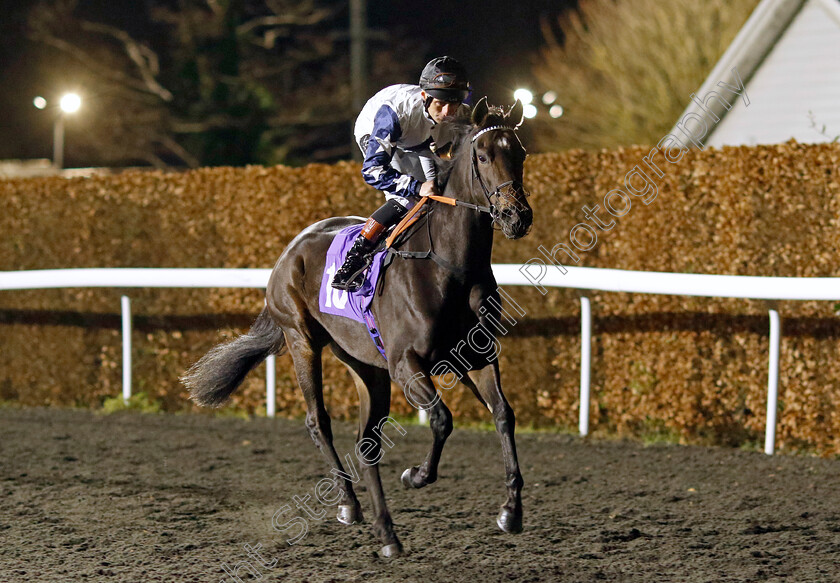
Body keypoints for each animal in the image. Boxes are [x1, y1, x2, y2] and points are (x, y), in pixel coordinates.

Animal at [183, 98, 536, 560]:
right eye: (482, 156)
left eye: (521, 154)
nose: (517, 217)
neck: (450, 267)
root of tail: (289, 250)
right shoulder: (407, 365)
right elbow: (442, 419)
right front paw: (416, 475)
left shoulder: (476, 356)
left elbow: (503, 415)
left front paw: (511, 510)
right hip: (302, 339)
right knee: (319, 421)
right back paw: (349, 504)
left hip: (366, 366)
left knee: (366, 444)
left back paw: (387, 534)